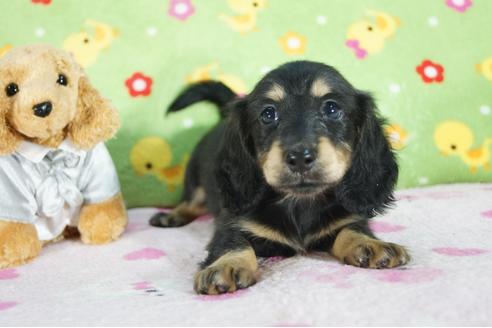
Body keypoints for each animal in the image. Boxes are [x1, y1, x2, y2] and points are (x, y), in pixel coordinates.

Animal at [151, 60, 412, 294]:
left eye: (331, 108)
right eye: (268, 113)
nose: (299, 157)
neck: (299, 202)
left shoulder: (346, 218)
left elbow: (352, 230)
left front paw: (371, 245)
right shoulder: (231, 222)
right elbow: (233, 242)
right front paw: (227, 265)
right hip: (194, 178)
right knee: (192, 201)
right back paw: (171, 216)